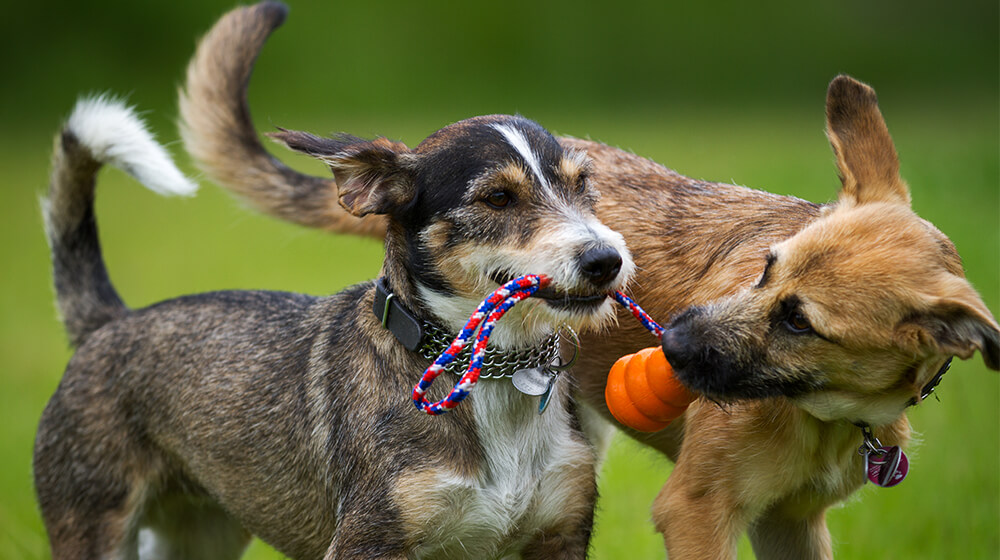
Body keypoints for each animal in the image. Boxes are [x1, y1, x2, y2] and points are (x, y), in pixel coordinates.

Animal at [35, 9, 636, 560]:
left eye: (583, 185)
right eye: (497, 198)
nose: (606, 260)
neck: (491, 372)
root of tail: (109, 322)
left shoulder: (560, 534)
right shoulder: (367, 541)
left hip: (199, 534)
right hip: (94, 525)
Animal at [182, 3, 1000, 556]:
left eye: (801, 321)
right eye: (765, 266)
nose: (671, 342)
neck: (830, 416)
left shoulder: (792, 523)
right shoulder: (697, 509)